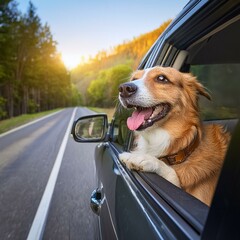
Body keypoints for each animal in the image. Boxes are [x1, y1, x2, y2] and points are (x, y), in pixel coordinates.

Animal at [118, 66, 231, 205]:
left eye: (162, 78)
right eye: (134, 79)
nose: (124, 88)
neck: (184, 152)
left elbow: (173, 175)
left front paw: (141, 158)